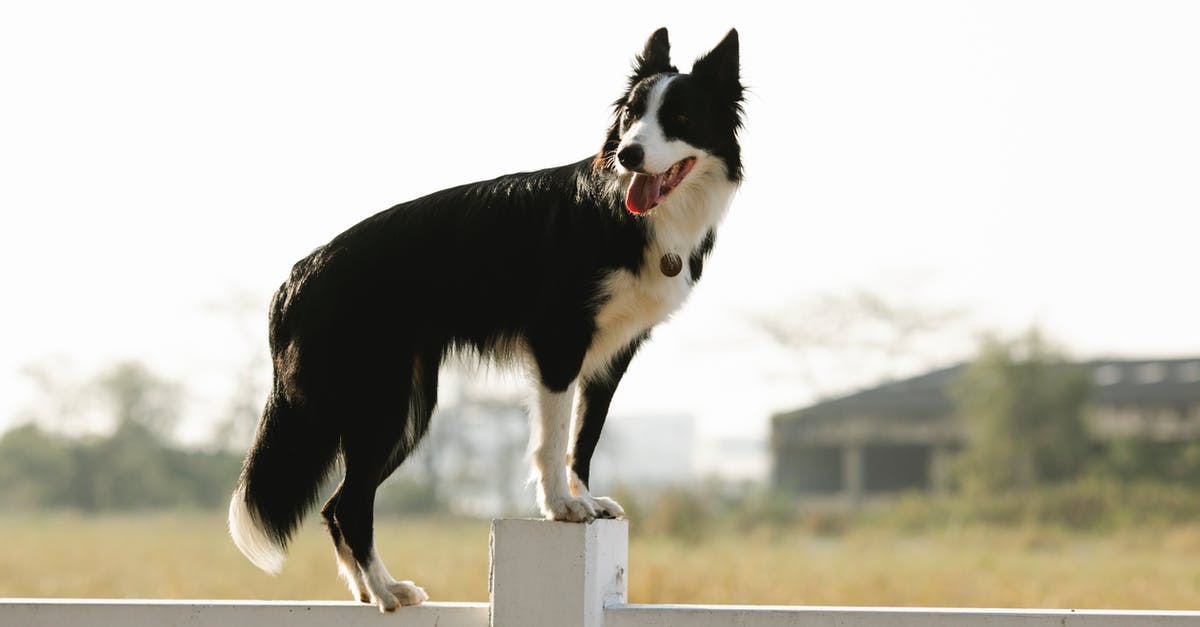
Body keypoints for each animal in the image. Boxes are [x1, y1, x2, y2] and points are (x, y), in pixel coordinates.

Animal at [226, 26, 739, 607]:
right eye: (631, 116)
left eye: (680, 118)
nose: (628, 155)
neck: (629, 215)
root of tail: (294, 280)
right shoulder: (558, 341)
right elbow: (553, 438)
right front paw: (561, 507)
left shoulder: (612, 354)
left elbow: (583, 439)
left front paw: (587, 501)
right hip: (382, 403)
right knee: (350, 503)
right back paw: (386, 592)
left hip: (407, 407)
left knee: (338, 505)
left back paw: (369, 590)